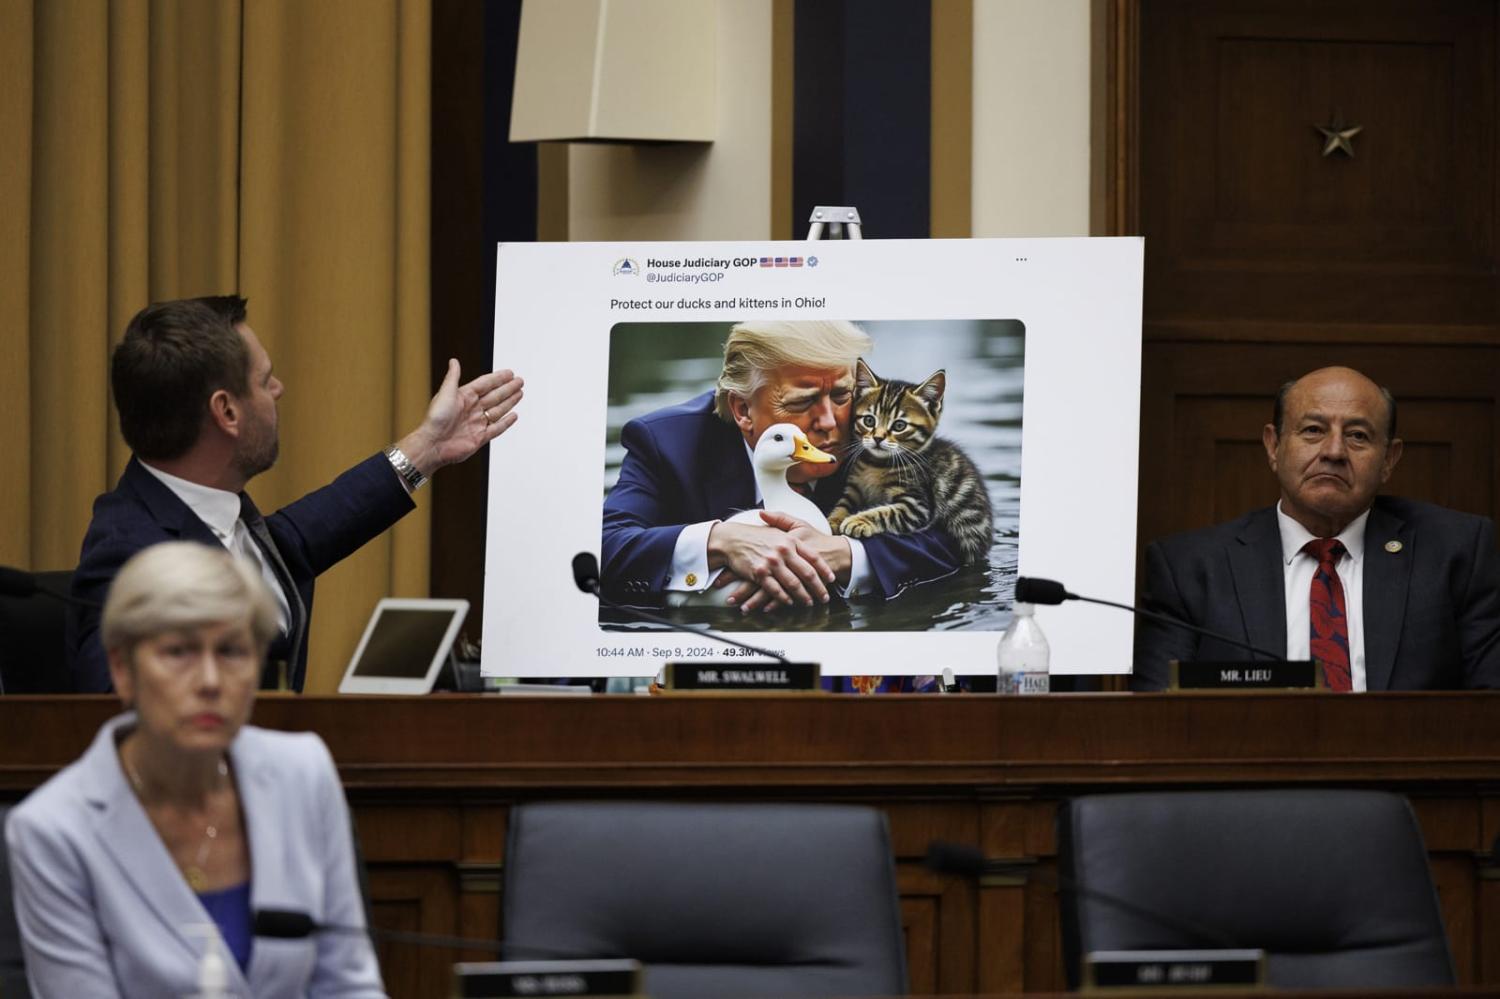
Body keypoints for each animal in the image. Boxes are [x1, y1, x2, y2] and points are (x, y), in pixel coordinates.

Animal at [828, 358, 990, 561]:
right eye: (869, 421)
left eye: (899, 426)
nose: (878, 438)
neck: (876, 465)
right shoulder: (854, 487)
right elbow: (843, 502)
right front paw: (833, 519)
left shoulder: (917, 504)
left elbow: (886, 512)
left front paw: (858, 520)